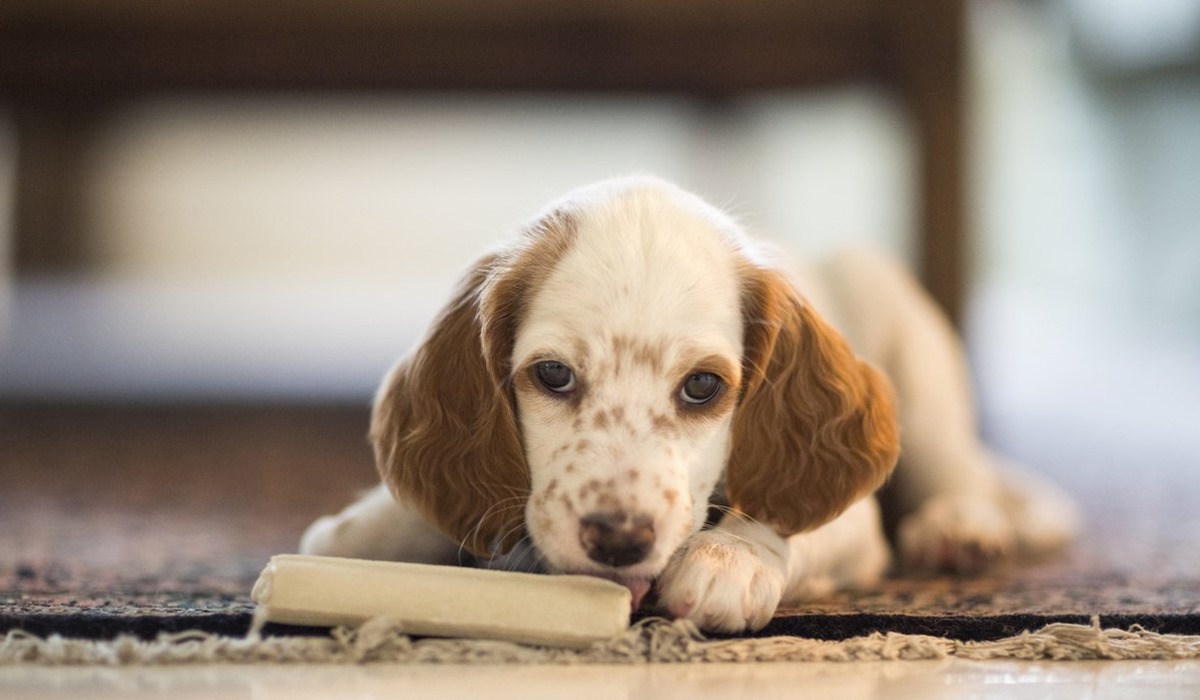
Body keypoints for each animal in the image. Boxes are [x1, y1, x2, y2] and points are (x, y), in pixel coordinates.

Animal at [300, 176, 1080, 633]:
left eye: (702, 386)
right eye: (552, 375)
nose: (619, 540)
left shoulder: (854, 525)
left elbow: (780, 515)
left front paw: (729, 560)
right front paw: (364, 530)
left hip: (912, 359)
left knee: (958, 470)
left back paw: (958, 528)